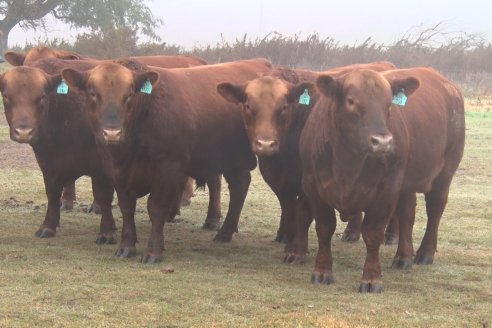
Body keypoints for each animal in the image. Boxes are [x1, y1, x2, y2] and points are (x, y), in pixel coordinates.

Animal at [61, 57, 272, 262]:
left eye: (129, 94)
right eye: (92, 93)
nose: (112, 133)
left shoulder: (168, 167)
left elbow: (156, 207)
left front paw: (153, 251)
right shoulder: (115, 169)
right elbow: (126, 207)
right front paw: (126, 246)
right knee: (238, 185)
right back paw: (224, 231)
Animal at [300, 67, 466, 292]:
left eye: (388, 104)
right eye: (351, 101)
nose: (383, 142)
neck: (347, 163)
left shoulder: (387, 190)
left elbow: (373, 232)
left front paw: (371, 279)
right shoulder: (313, 187)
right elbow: (324, 228)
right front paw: (322, 271)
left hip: (444, 174)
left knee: (435, 211)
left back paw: (425, 253)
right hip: (406, 185)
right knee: (407, 215)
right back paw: (404, 257)